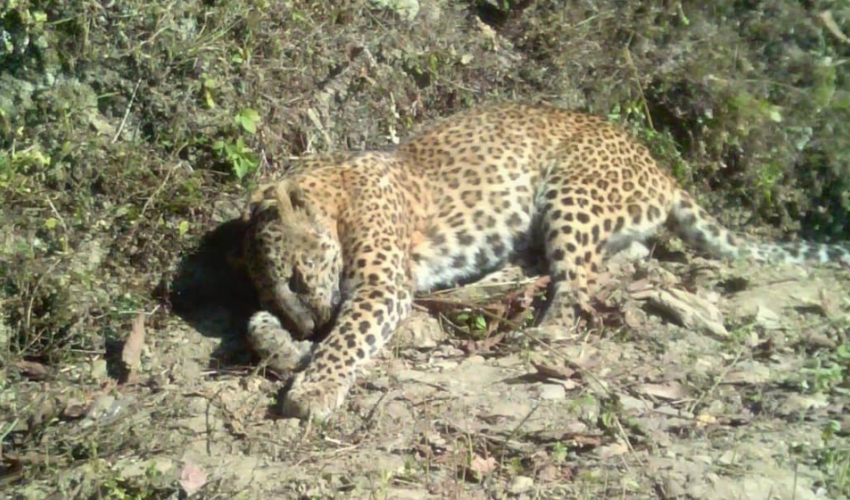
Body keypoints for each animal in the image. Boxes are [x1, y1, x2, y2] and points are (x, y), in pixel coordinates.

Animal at [238, 101, 848, 422]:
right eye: (275, 289)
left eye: (297, 276)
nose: (310, 324)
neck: (334, 193)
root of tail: (661, 168)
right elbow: (255, 324)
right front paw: (285, 344)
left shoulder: (380, 287)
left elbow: (348, 338)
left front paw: (313, 388)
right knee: (597, 261)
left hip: (569, 192)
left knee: (580, 281)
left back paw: (538, 333)